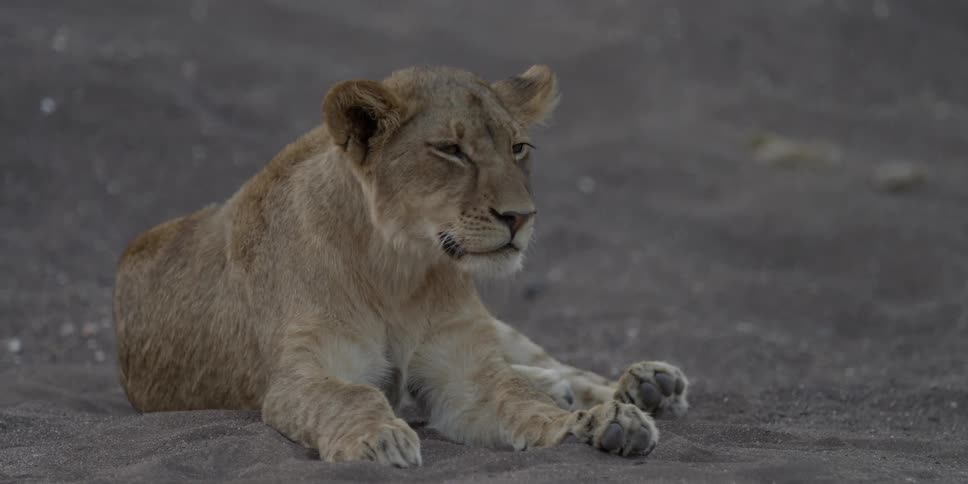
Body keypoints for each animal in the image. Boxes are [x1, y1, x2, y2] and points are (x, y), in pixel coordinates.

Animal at [113, 65, 689, 467]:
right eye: (451, 150)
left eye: (519, 147)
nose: (520, 217)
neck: (400, 269)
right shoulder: (301, 373)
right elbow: (352, 395)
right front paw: (379, 439)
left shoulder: (463, 364)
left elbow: (515, 396)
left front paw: (594, 425)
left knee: (550, 363)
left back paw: (646, 385)